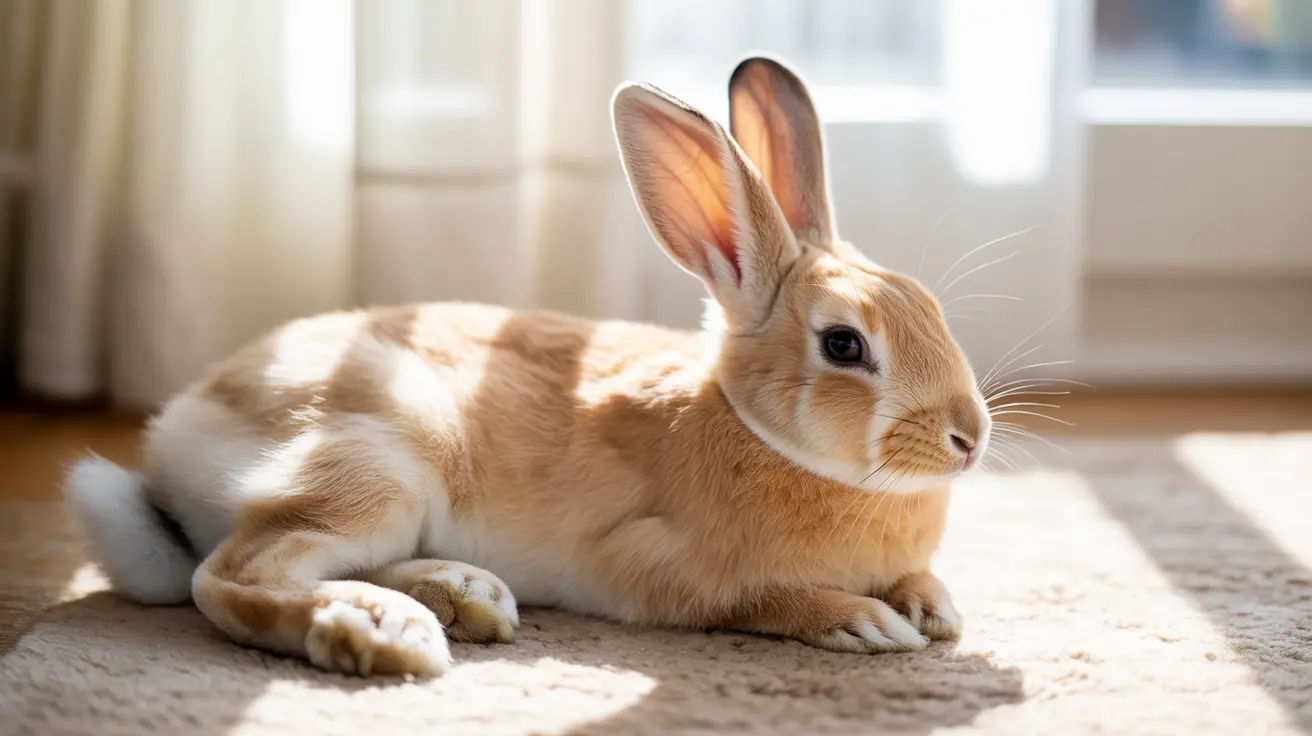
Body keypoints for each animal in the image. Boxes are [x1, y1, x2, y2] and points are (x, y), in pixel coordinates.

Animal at [64, 56, 990, 677]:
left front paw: (934, 608)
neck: (752, 427)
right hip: (377, 465)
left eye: (932, 311)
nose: (969, 440)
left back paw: (463, 594)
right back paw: (382, 632)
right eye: (844, 346)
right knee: (228, 578)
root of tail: (175, 436)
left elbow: (921, 581)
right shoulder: (662, 573)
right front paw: (864, 622)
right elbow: (760, 600)